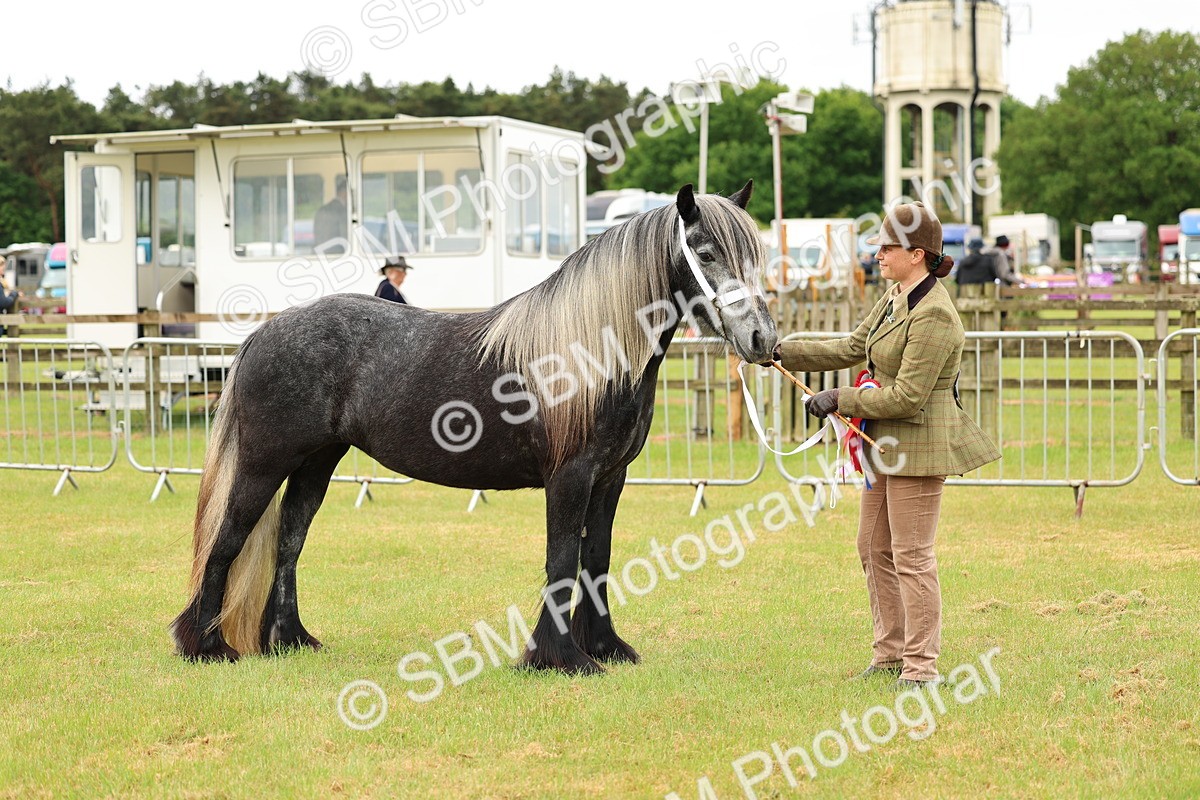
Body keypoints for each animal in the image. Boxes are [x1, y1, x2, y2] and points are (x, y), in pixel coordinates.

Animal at [170, 181, 778, 674]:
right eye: (705, 251)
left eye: (756, 256)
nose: (763, 340)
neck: (588, 352)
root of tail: (264, 332)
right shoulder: (570, 478)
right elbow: (562, 560)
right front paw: (559, 658)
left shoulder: (610, 479)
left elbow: (597, 561)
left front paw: (605, 647)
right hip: (264, 463)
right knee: (227, 540)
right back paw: (206, 646)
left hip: (316, 464)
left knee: (289, 540)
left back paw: (289, 640)